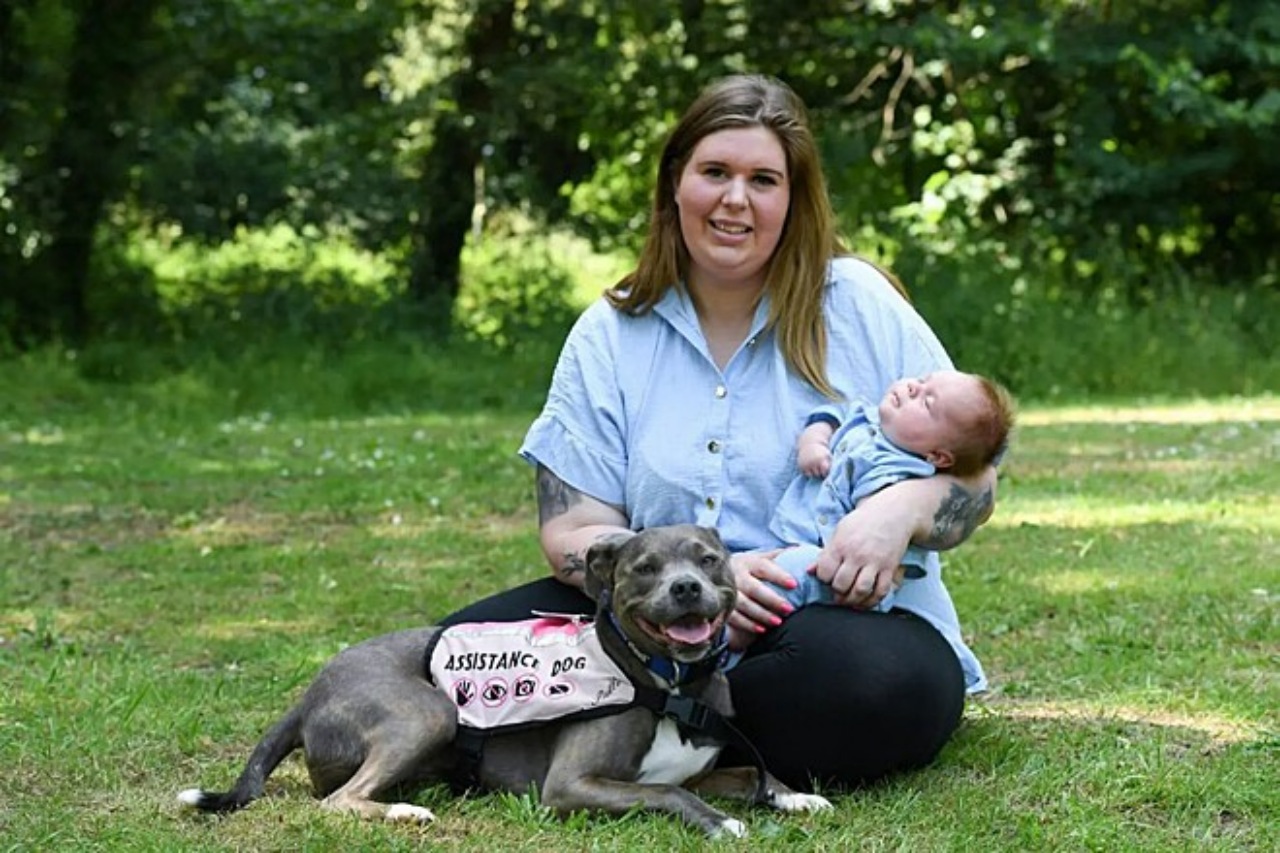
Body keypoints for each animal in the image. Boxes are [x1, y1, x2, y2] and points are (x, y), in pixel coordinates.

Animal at [177, 522, 829, 835]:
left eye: (709, 560)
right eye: (645, 568)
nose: (687, 588)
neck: (671, 686)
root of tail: (312, 689)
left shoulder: (699, 768)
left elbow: (746, 774)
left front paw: (795, 795)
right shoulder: (569, 787)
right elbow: (669, 794)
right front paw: (722, 824)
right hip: (428, 713)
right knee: (338, 802)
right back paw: (403, 814)